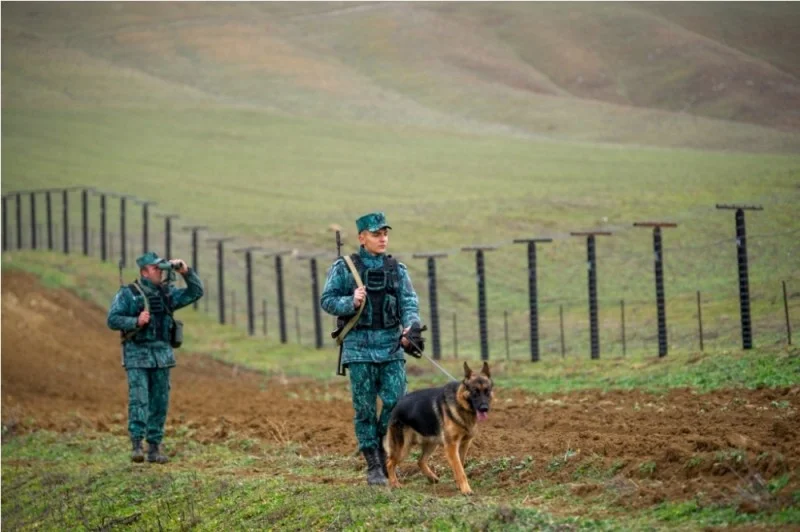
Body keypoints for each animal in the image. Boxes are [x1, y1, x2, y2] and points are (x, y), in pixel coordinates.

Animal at [382, 362, 490, 494]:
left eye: (487, 391)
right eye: (475, 392)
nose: (484, 408)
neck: (460, 404)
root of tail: (397, 404)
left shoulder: (464, 444)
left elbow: (460, 465)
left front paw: (459, 485)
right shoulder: (451, 446)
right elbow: (459, 469)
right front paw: (465, 489)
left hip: (431, 444)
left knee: (420, 461)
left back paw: (431, 477)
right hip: (403, 449)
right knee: (389, 463)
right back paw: (395, 484)